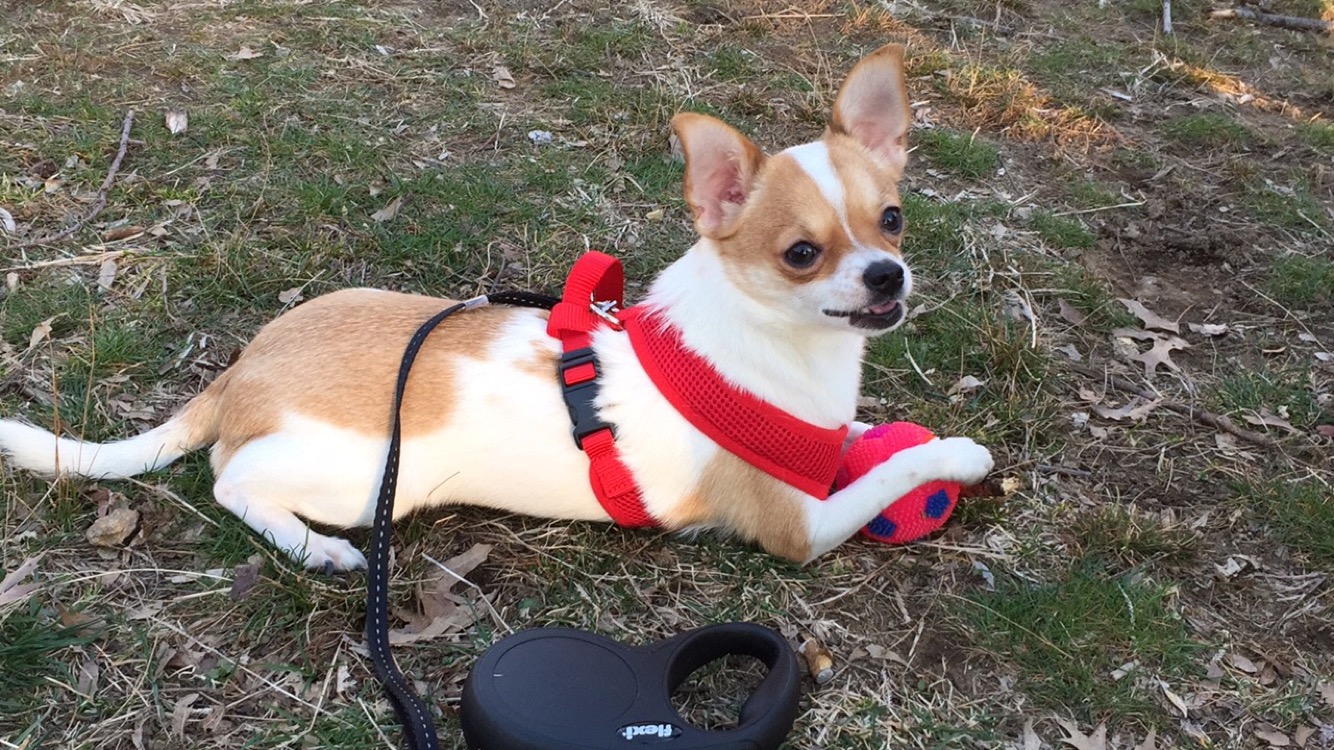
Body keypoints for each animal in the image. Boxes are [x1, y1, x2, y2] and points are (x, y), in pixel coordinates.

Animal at [0, 45, 992, 565]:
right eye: (801, 255)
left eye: (892, 219)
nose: (887, 277)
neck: (777, 348)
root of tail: (240, 374)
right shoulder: (801, 529)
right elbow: (888, 473)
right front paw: (955, 454)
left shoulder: (813, 444)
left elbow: (857, 444)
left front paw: (878, 436)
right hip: (368, 481)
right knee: (231, 479)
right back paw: (316, 548)